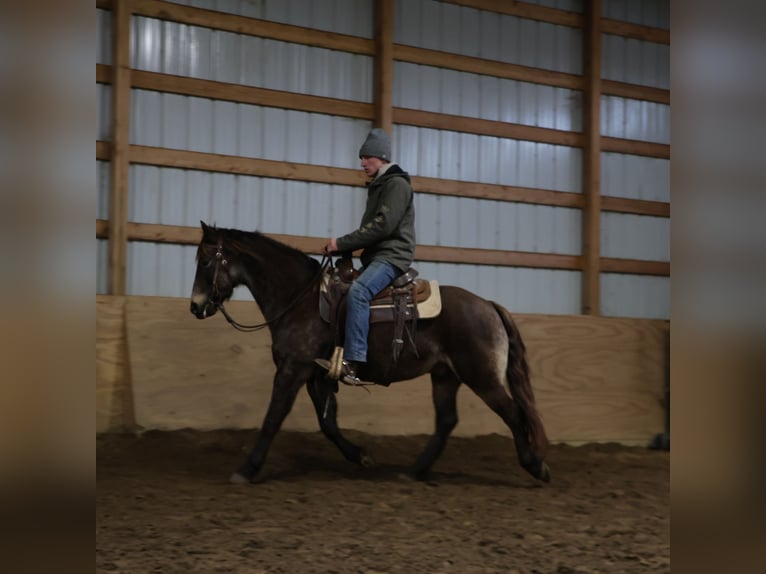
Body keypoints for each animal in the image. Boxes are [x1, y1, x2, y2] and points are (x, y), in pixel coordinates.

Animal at [190, 221, 551, 485]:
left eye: (206, 261)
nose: (195, 306)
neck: (300, 299)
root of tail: (488, 305)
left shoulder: (293, 369)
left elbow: (273, 418)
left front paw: (247, 469)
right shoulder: (316, 374)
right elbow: (328, 424)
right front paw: (361, 456)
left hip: (483, 377)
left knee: (513, 413)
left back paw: (536, 467)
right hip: (445, 376)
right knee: (447, 420)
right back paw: (414, 471)